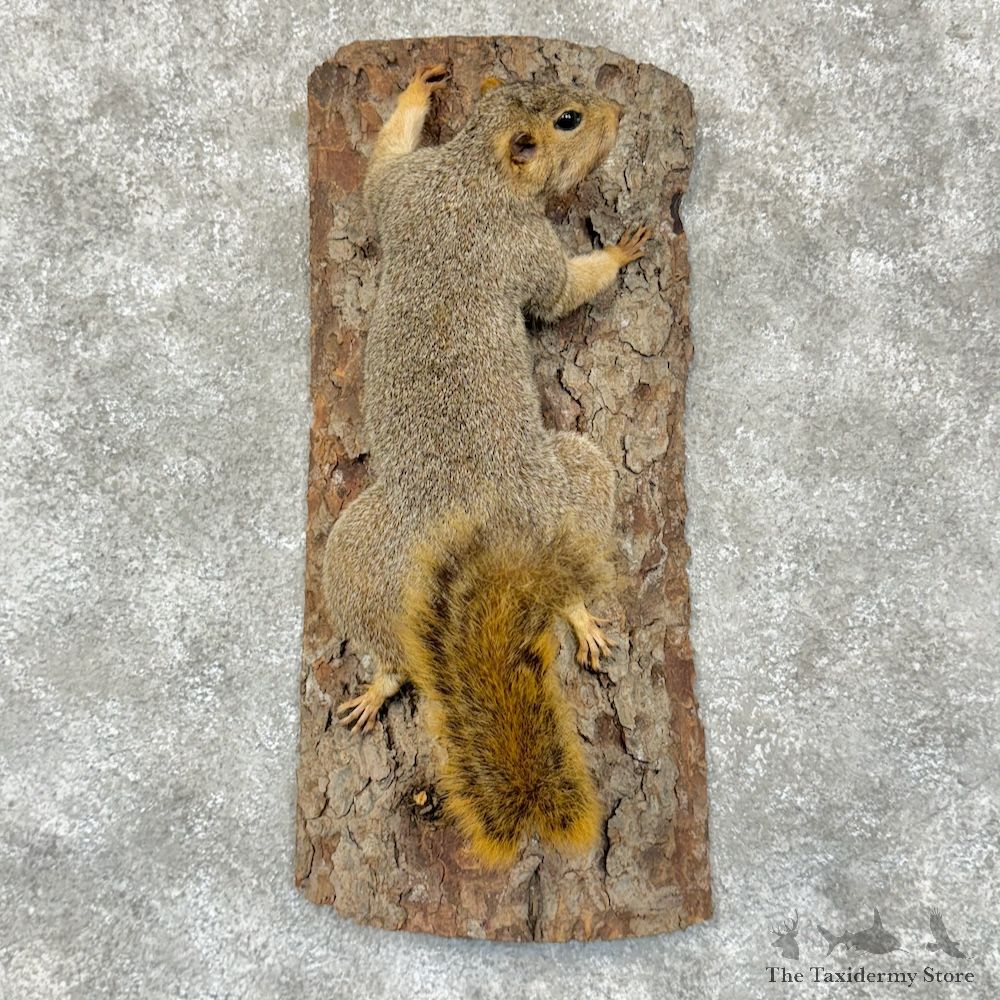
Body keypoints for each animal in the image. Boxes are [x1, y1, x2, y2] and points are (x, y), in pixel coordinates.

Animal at [323, 64, 652, 867]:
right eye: (570, 121)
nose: (616, 110)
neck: (473, 172)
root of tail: (480, 531)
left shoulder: (404, 187)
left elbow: (379, 170)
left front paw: (419, 90)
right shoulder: (525, 246)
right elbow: (561, 291)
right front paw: (618, 254)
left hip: (358, 556)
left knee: (395, 652)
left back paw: (379, 684)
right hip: (572, 478)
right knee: (568, 564)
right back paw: (577, 612)